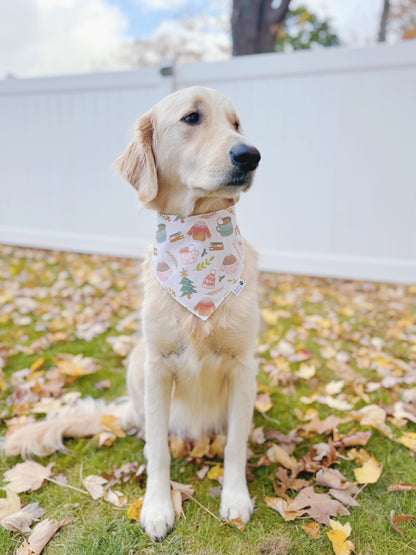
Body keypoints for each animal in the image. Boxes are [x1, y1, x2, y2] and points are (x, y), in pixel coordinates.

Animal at [5, 87, 260, 540]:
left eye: (236, 124)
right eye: (192, 118)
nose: (251, 155)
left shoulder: (244, 365)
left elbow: (235, 444)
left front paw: (235, 499)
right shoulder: (157, 365)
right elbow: (157, 449)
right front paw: (157, 507)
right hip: (136, 362)